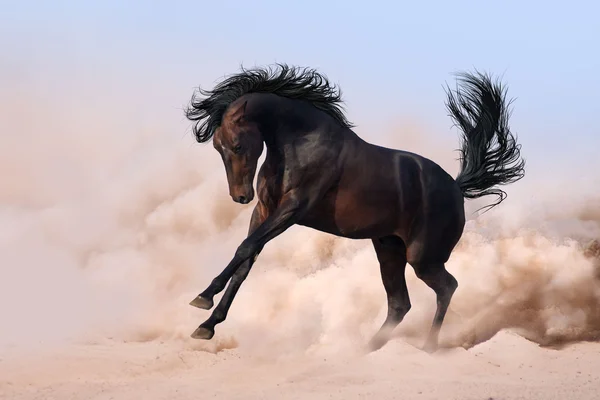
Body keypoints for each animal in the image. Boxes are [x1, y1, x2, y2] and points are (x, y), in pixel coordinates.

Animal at [183, 64, 524, 352]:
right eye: (217, 147)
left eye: (237, 145)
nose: (240, 196)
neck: (300, 141)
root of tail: (456, 187)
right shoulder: (264, 211)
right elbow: (245, 260)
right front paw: (206, 324)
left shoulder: (292, 209)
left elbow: (244, 249)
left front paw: (202, 298)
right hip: (388, 250)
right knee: (400, 303)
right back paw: (366, 349)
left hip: (422, 258)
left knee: (447, 287)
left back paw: (428, 347)